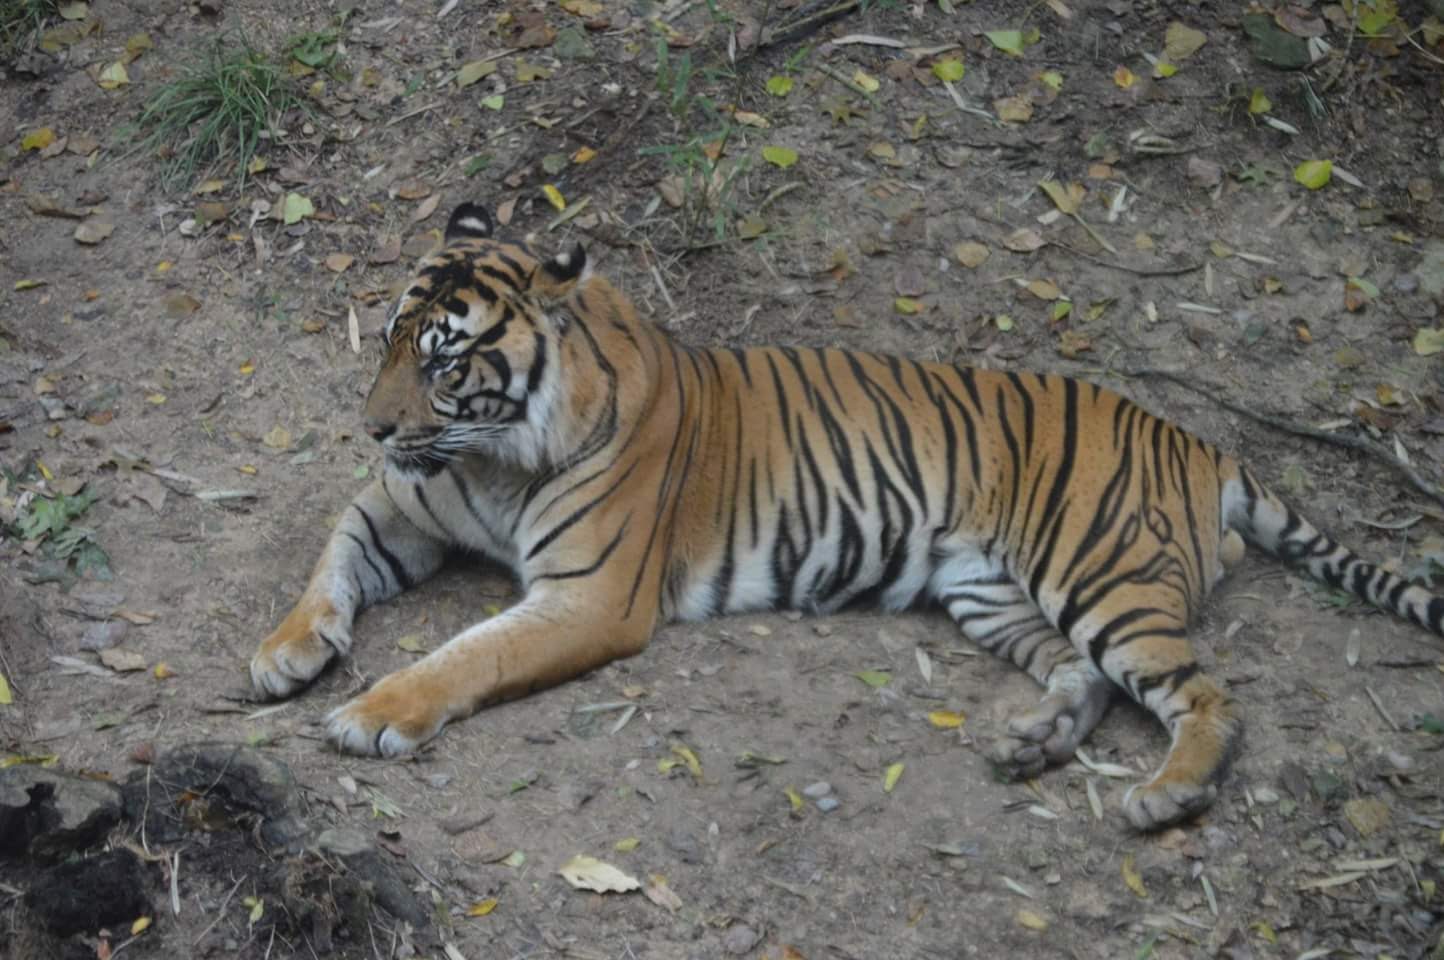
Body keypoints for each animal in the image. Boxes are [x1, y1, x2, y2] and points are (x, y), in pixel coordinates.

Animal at [251, 201, 1444, 830]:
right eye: (390, 342)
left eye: (444, 362)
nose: (370, 425)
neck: (496, 451)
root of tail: (1202, 441)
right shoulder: (401, 505)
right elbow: (330, 562)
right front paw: (282, 653)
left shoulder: (589, 599)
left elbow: (468, 653)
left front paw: (373, 712)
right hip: (992, 593)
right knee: (1086, 676)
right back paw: (1036, 743)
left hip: (1100, 577)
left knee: (1205, 695)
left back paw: (1166, 793)